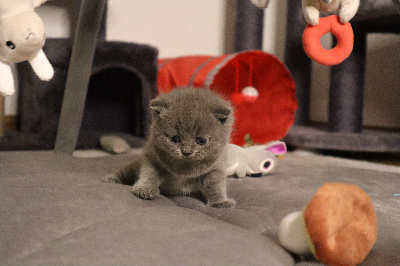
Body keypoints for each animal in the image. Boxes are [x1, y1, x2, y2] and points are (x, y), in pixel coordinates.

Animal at [102, 87, 234, 208]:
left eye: (201, 140)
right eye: (175, 139)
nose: (186, 152)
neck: (185, 168)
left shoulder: (216, 167)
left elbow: (215, 185)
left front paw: (220, 202)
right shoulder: (151, 158)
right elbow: (149, 174)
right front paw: (145, 189)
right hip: (134, 166)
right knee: (124, 171)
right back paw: (111, 179)